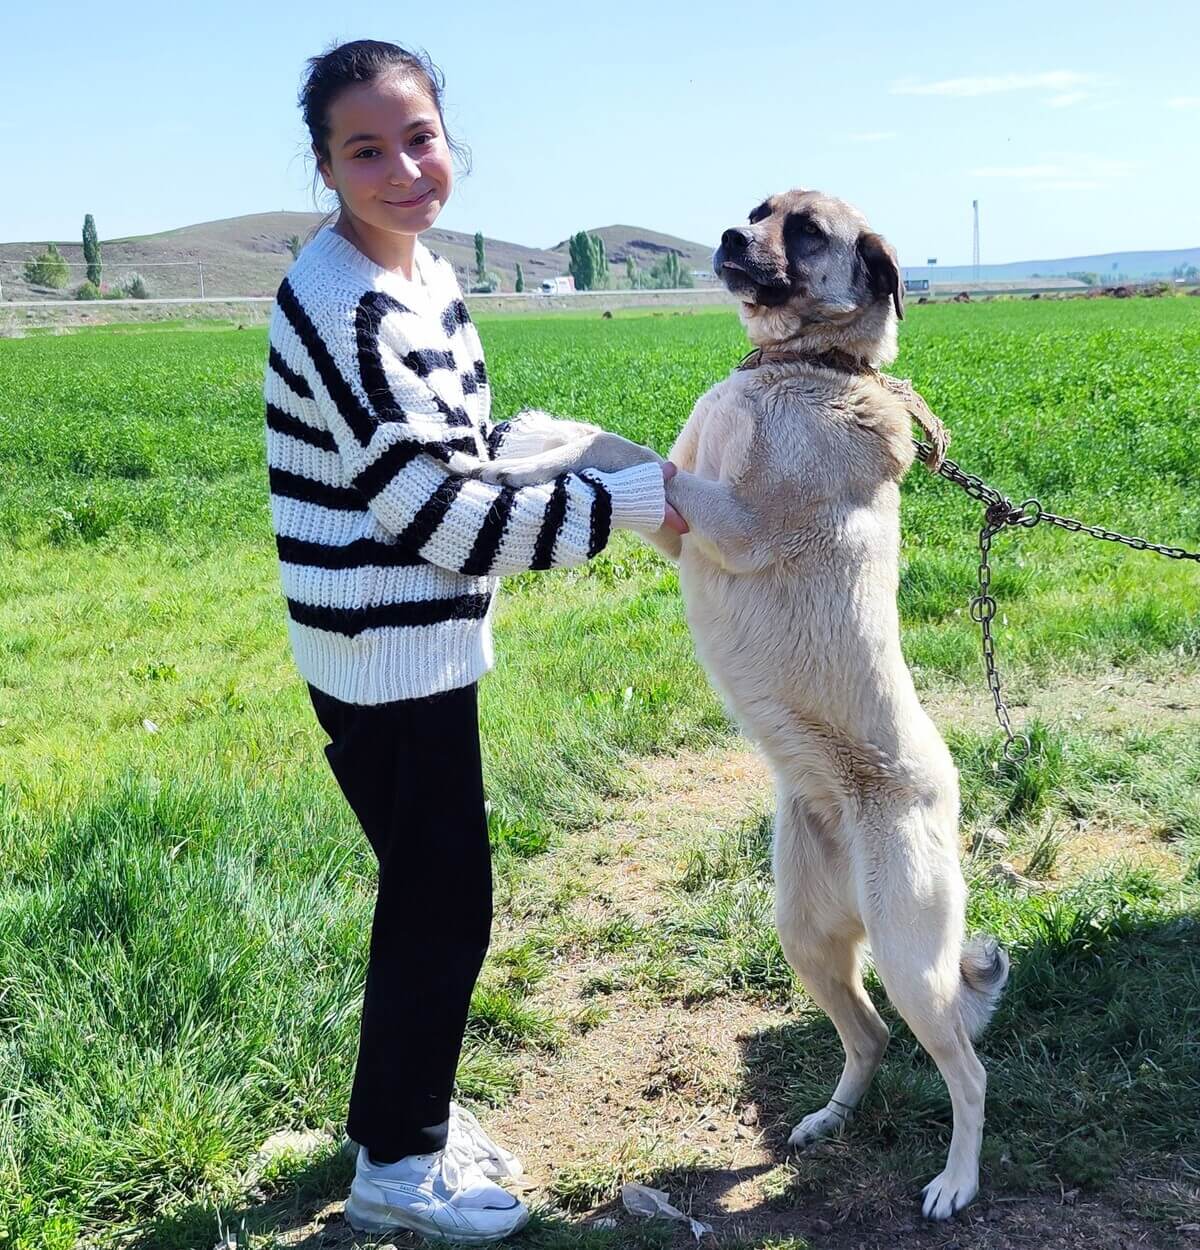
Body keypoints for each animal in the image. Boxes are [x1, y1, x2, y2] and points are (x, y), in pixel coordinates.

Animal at [472, 185, 1010, 1220]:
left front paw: (517, 457)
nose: (725, 238)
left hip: (910, 953)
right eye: (758, 208)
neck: (796, 368)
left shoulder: (732, 520)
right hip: (805, 935)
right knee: (870, 1036)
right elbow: (615, 447)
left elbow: (644, 462)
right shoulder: (684, 530)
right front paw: (536, 438)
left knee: (967, 1070)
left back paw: (957, 1182)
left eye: (806, 231)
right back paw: (827, 1122)